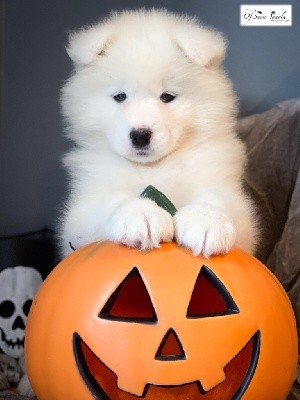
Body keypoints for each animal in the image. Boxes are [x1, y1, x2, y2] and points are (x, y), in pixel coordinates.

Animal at [58, 10, 258, 260]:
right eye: (120, 96)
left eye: (167, 97)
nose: (140, 135)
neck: (153, 168)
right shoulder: (82, 210)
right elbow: (109, 201)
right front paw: (141, 214)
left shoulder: (224, 187)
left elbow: (217, 197)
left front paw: (206, 220)